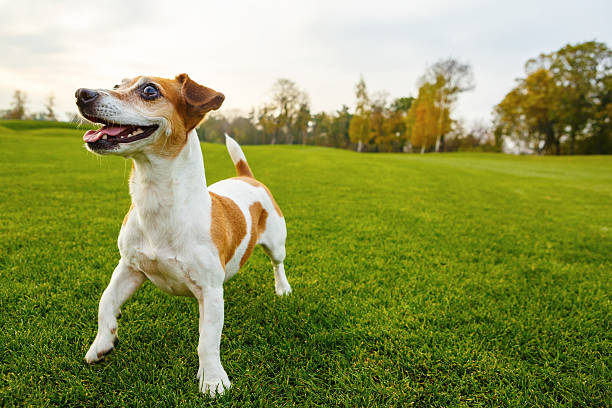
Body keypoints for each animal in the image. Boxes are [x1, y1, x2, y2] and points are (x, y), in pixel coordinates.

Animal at [76, 72, 292, 396]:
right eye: (117, 85)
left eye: (149, 90)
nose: (81, 93)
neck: (157, 203)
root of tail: (246, 177)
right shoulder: (128, 267)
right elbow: (106, 302)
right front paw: (101, 343)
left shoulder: (211, 292)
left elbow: (207, 342)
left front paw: (213, 380)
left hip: (277, 243)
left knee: (277, 264)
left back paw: (283, 288)